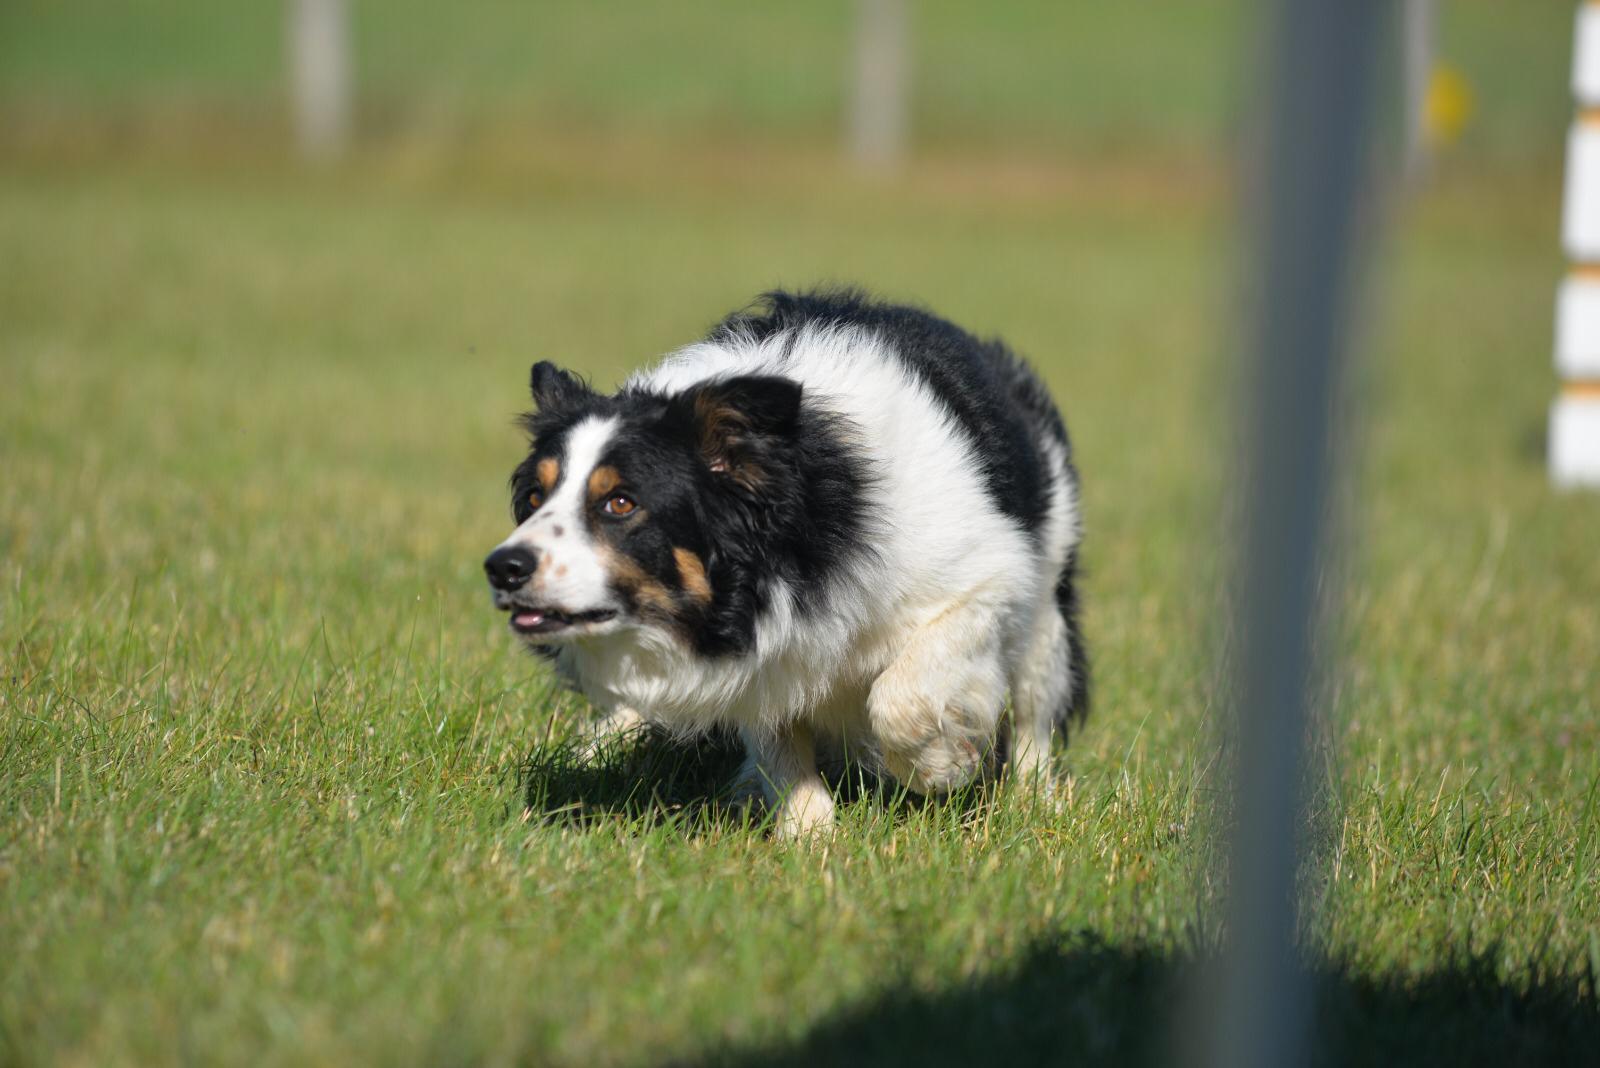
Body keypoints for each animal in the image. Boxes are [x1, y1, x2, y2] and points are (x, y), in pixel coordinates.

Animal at [483, 289, 1088, 831]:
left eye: (620, 503)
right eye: (534, 498)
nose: (503, 567)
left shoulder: (991, 576)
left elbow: (898, 699)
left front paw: (940, 766)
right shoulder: (759, 650)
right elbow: (777, 739)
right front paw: (810, 837)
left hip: (1047, 597)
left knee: (1035, 708)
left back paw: (1035, 801)